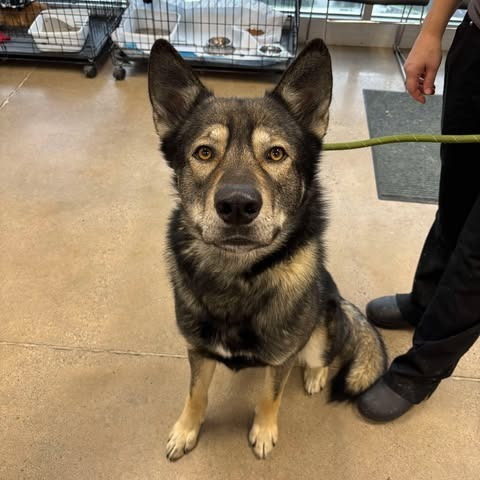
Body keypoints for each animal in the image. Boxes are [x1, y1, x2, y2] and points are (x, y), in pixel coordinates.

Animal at [148, 38, 388, 462]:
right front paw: (186, 429)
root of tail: (341, 301)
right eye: (204, 153)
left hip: (320, 330)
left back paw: (316, 374)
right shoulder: (198, 351)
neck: (238, 277)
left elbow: (269, 397)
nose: (237, 205)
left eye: (276, 154)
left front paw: (263, 430)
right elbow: (196, 393)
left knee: (324, 354)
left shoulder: (282, 360)